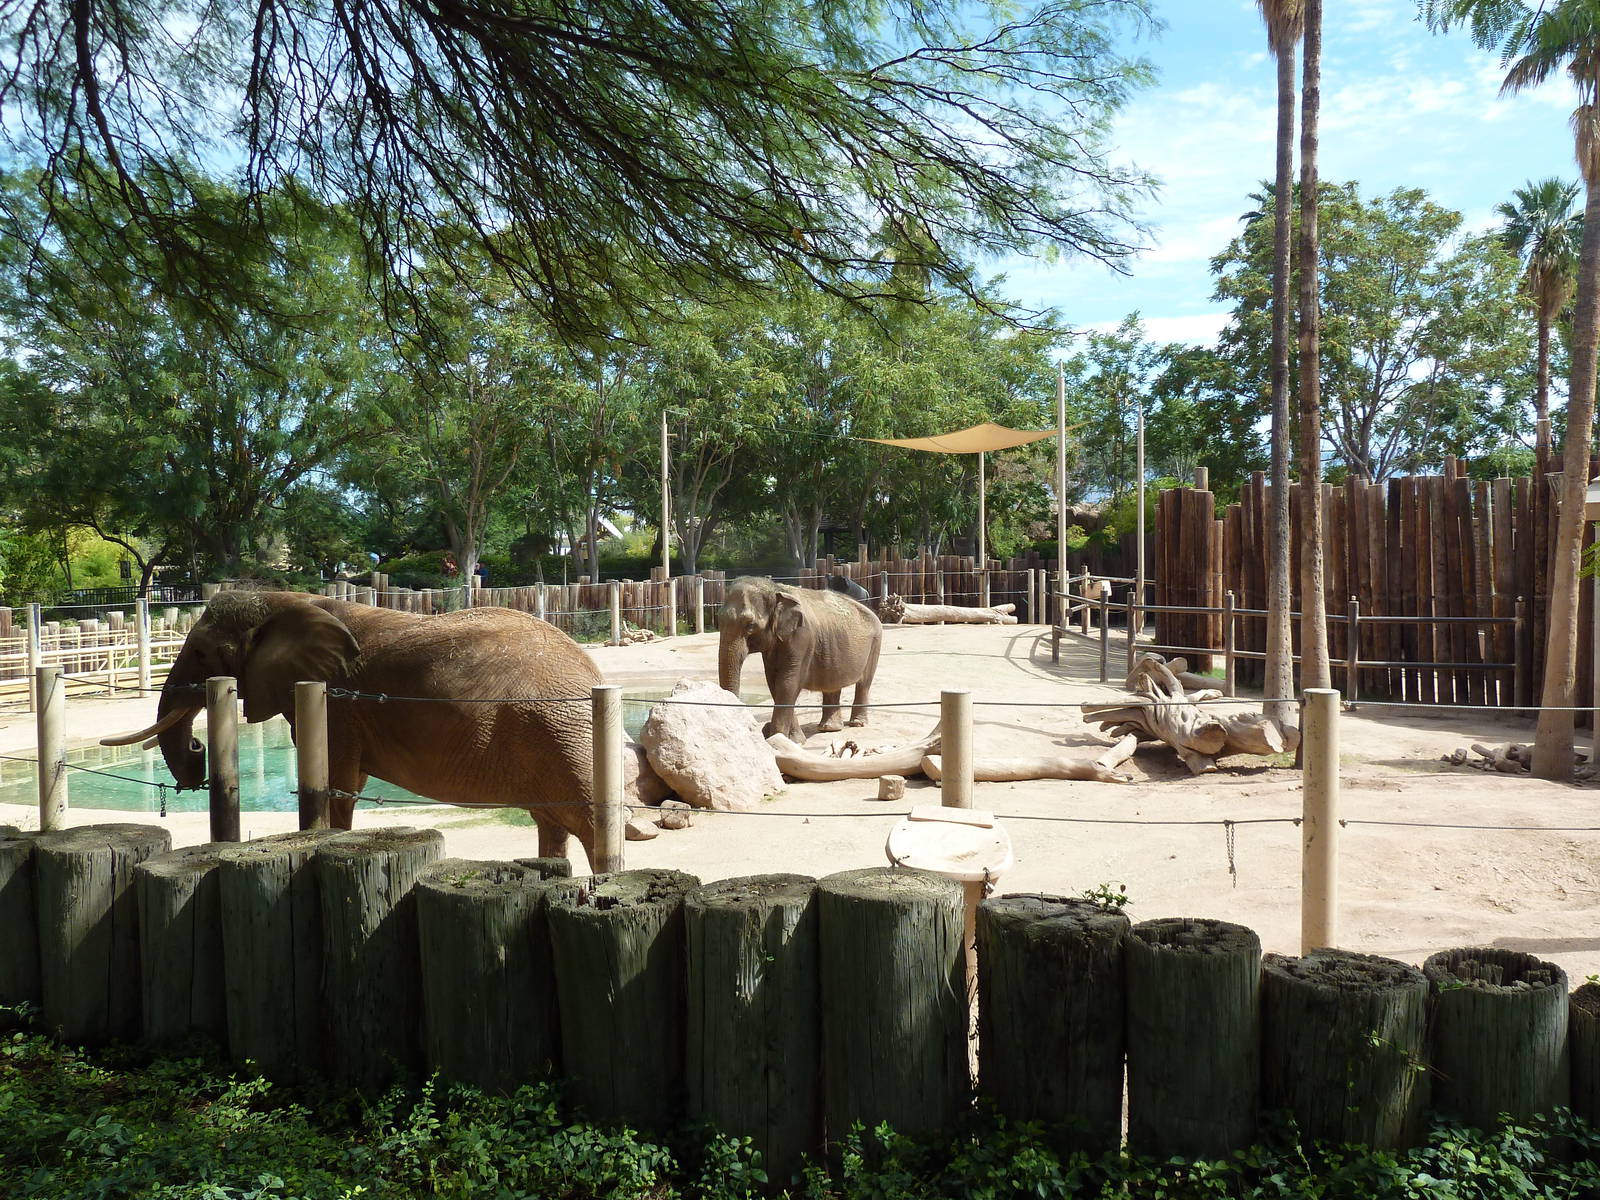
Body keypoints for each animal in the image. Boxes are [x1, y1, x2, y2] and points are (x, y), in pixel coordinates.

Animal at [104, 590, 606, 864]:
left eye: (203, 654)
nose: (195, 749)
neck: (286, 600)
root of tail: (593, 673)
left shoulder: (338, 702)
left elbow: (339, 784)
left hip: (557, 729)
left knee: (589, 822)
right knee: (553, 821)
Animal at [717, 576, 882, 741]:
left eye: (750, 625)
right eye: (719, 621)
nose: (764, 728)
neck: (776, 589)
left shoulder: (802, 637)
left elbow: (787, 683)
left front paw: (779, 738)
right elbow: (774, 683)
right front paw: (795, 739)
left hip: (875, 643)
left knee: (864, 684)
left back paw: (857, 723)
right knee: (832, 684)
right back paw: (829, 728)